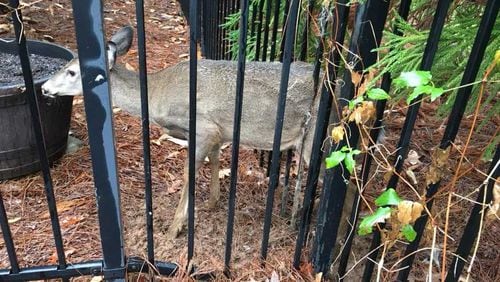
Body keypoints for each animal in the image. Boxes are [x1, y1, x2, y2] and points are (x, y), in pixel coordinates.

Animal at [43, 25, 356, 240]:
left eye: (72, 72)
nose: (45, 87)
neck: (156, 94)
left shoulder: (204, 127)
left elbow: (188, 173)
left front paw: (174, 228)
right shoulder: (219, 132)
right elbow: (215, 162)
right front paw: (212, 202)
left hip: (319, 136)